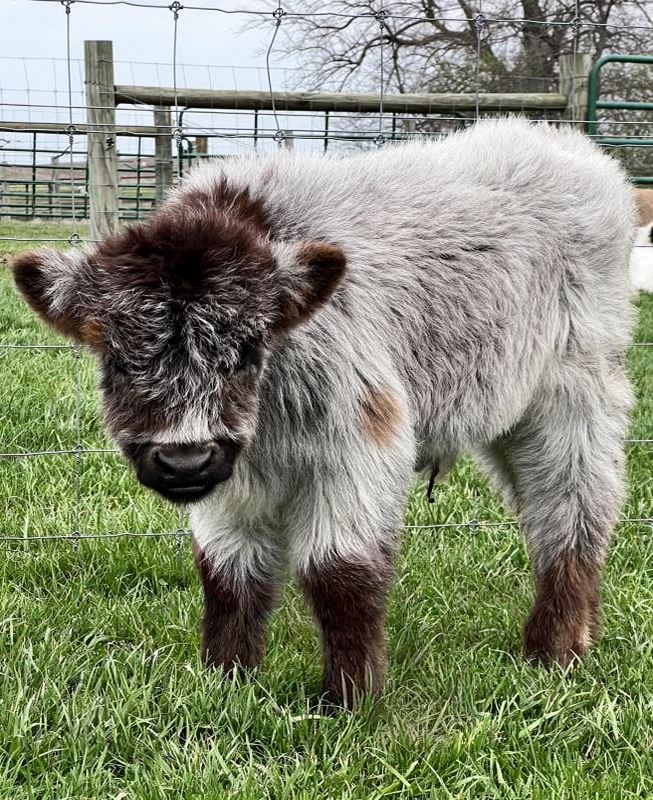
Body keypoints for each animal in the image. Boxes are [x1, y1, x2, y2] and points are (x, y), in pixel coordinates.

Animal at [12, 119, 635, 709]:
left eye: (248, 351)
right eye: (117, 359)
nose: (183, 462)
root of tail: (572, 147)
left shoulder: (359, 441)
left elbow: (338, 571)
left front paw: (350, 702)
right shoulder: (234, 480)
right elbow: (228, 574)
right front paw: (225, 683)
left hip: (574, 395)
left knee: (573, 509)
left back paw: (552, 652)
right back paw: (582, 636)